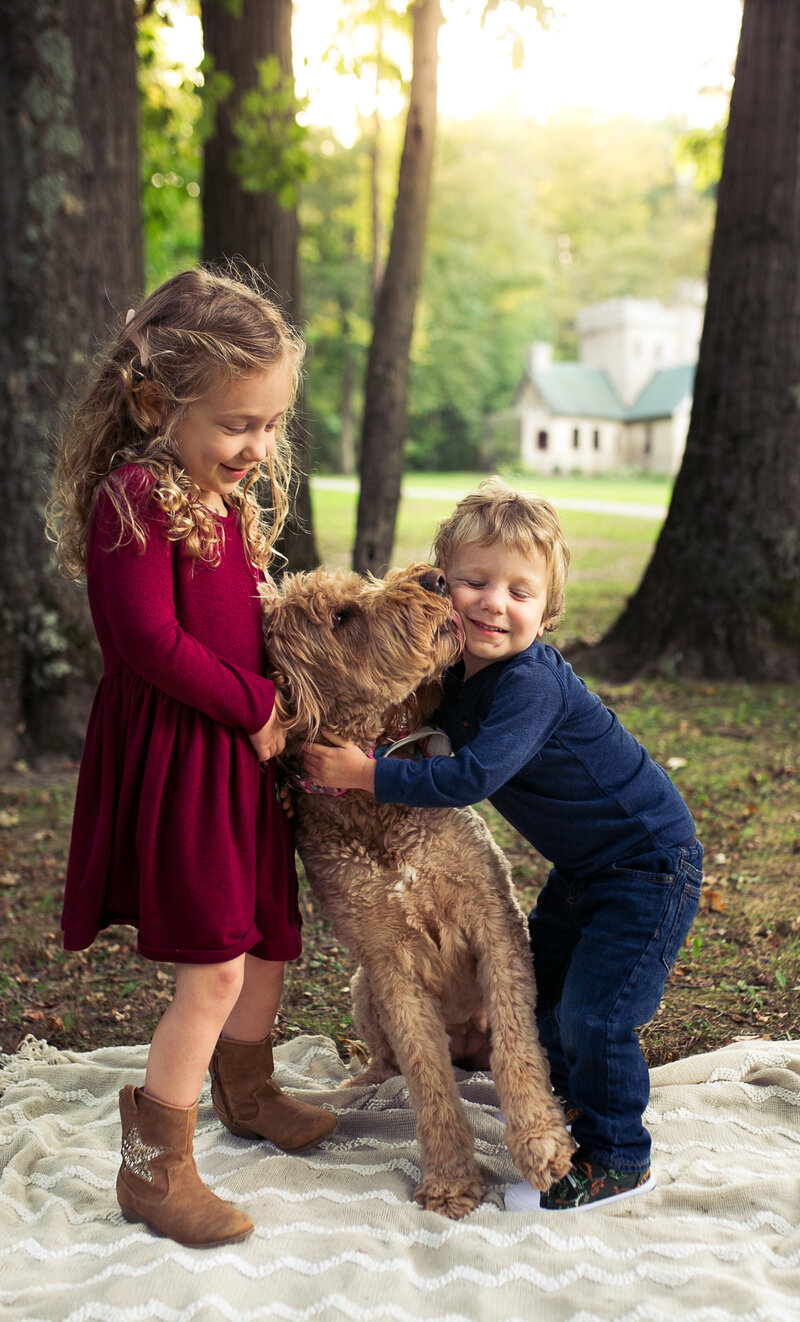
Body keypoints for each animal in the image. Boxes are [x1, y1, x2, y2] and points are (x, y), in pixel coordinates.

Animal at [263, 560, 573, 1216]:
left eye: (358, 587)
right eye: (342, 618)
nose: (433, 578)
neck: (375, 803)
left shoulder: (494, 919)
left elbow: (517, 1045)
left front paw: (540, 1141)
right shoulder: (388, 961)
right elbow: (427, 1076)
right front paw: (451, 1181)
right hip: (362, 987)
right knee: (392, 1064)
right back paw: (353, 1088)